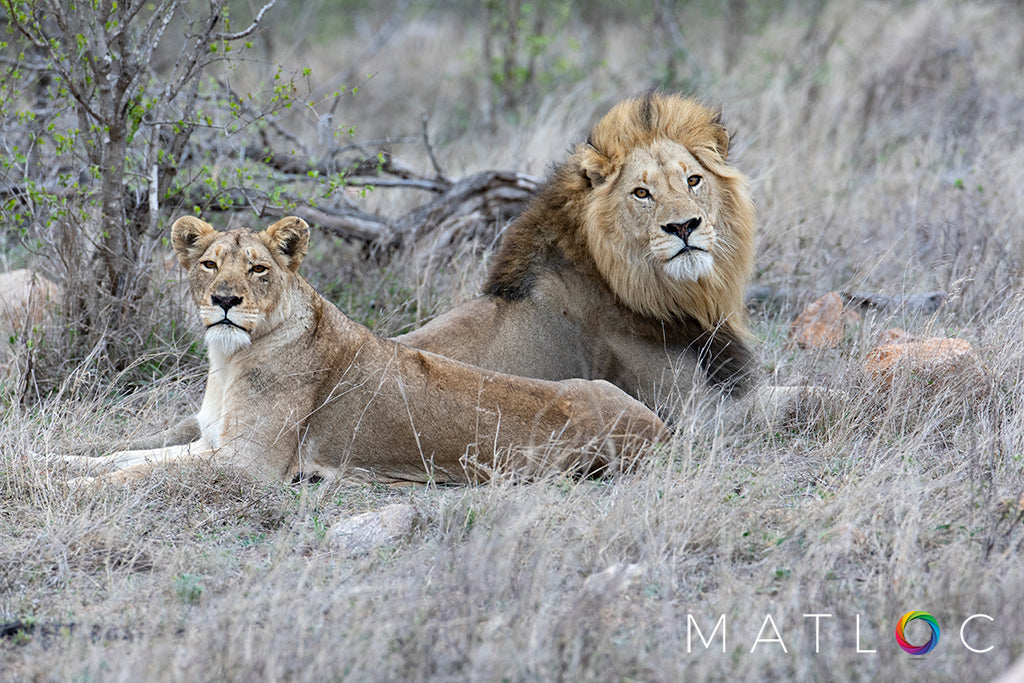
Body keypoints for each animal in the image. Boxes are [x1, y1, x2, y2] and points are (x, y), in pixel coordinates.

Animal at [68, 215, 667, 485]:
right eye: (209, 264)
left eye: (258, 270)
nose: (224, 300)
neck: (230, 359)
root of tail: (660, 431)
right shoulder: (213, 443)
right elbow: (128, 457)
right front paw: (58, 464)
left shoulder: (250, 464)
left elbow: (135, 475)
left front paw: (78, 488)